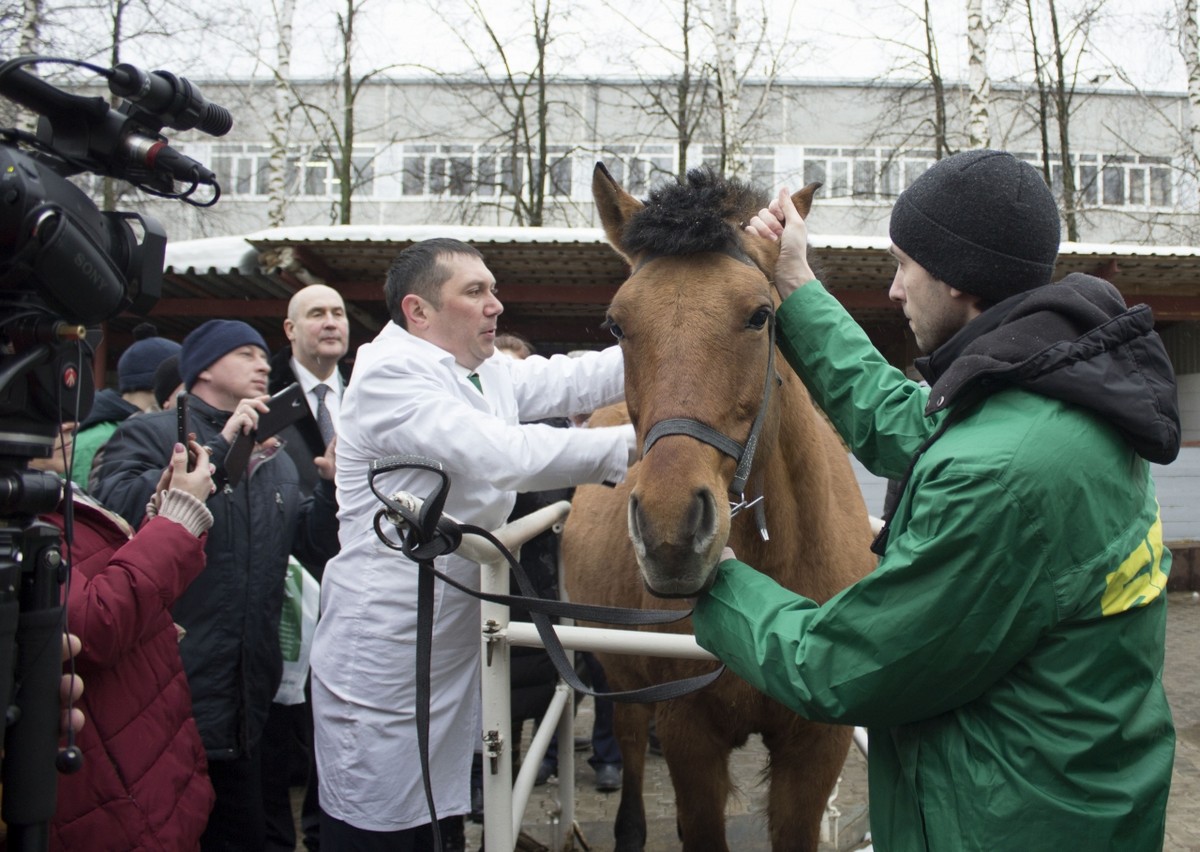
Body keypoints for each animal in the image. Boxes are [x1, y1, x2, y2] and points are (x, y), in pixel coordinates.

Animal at [556, 163, 878, 849]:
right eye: (617, 324)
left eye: (761, 315)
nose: (671, 532)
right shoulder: (690, 739)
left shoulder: (816, 749)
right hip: (624, 676)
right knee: (628, 740)